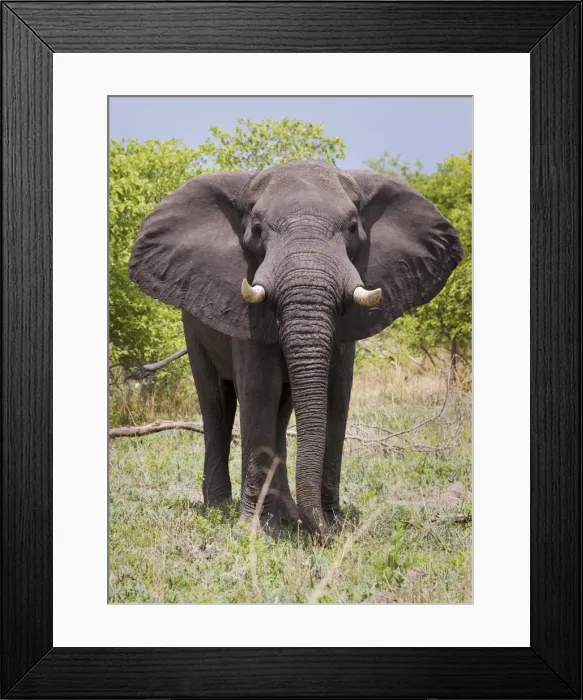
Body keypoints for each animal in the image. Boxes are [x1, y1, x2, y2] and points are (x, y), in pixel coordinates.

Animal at [129, 160, 462, 543]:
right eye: (257, 229)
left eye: (352, 227)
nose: (325, 538)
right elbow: (259, 390)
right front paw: (255, 532)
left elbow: (335, 395)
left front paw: (331, 524)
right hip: (193, 324)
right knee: (217, 405)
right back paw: (220, 510)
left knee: (282, 410)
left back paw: (286, 514)